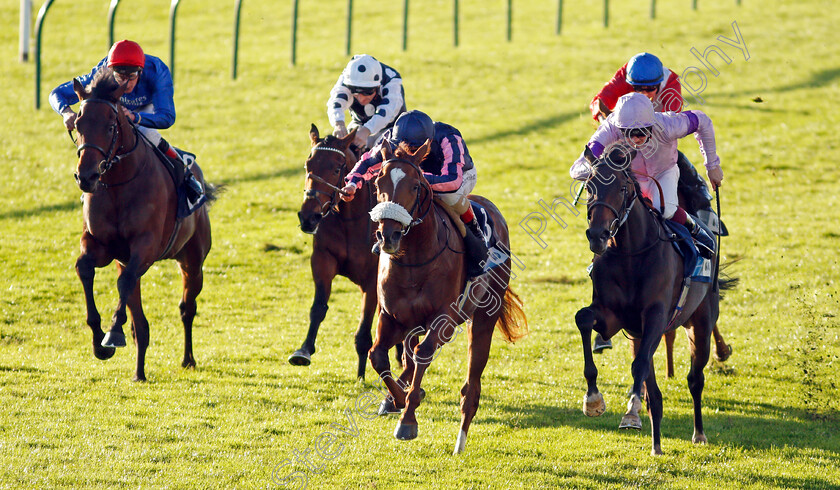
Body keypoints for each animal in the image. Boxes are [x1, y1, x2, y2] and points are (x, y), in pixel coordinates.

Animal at [71, 71, 217, 380]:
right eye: (77, 123)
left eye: (110, 126)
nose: (86, 176)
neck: (118, 184)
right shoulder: (101, 245)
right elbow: (85, 268)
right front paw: (99, 342)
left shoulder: (146, 247)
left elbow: (124, 283)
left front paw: (113, 333)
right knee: (140, 319)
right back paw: (139, 371)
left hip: (193, 260)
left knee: (187, 308)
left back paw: (188, 359)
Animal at [292, 126, 404, 378]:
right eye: (307, 165)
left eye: (336, 168)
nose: (308, 217)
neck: (349, 220)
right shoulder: (323, 260)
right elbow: (318, 308)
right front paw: (303, 351)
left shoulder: (372, 278)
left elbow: (365, 326)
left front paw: (361, 374)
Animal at [368, 140, 524, 454]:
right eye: (378, 182)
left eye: (415, 185)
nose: (388, 235)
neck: (414, 259)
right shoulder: (391, 316)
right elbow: (378, 355)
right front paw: (398, 400)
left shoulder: (444, 318)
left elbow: (423, 354)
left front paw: (408, 419)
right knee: (407, 357)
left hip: (484, 316)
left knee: (471, 387)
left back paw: (460, 443)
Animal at [576, 150, 736, 456]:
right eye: (589, 187)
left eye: (622, 188)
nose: (598, 235)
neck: (631, 254)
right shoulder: (612, 316)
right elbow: (584, 318)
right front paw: (593, 398)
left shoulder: (656, 316)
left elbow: (639, 366)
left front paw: (632, 409)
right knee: (655, 384)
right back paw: (655, 440)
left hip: (700, 321)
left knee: (695, 379)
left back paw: (698, 433)